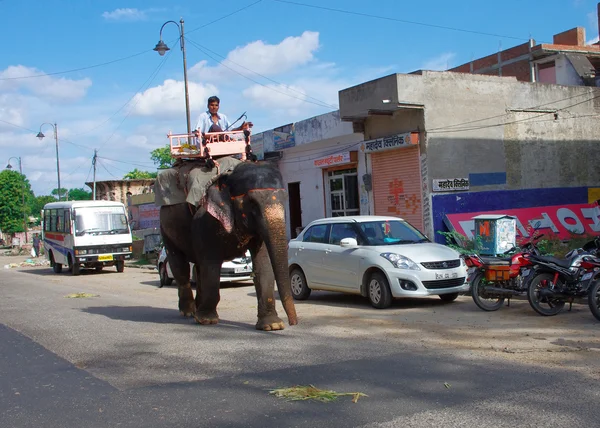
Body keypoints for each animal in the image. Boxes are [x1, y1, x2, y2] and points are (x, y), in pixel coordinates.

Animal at [159, 160, 298, 332]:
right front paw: (207, 321)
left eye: (285, 199)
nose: (293, 322)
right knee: (180, 265)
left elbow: (263, 264)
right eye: (252, 203)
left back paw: (196, 311)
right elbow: (211, 264)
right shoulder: (205, 221)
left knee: (198, 267)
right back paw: (189, 312)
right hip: (165, 227)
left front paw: (272, 325)